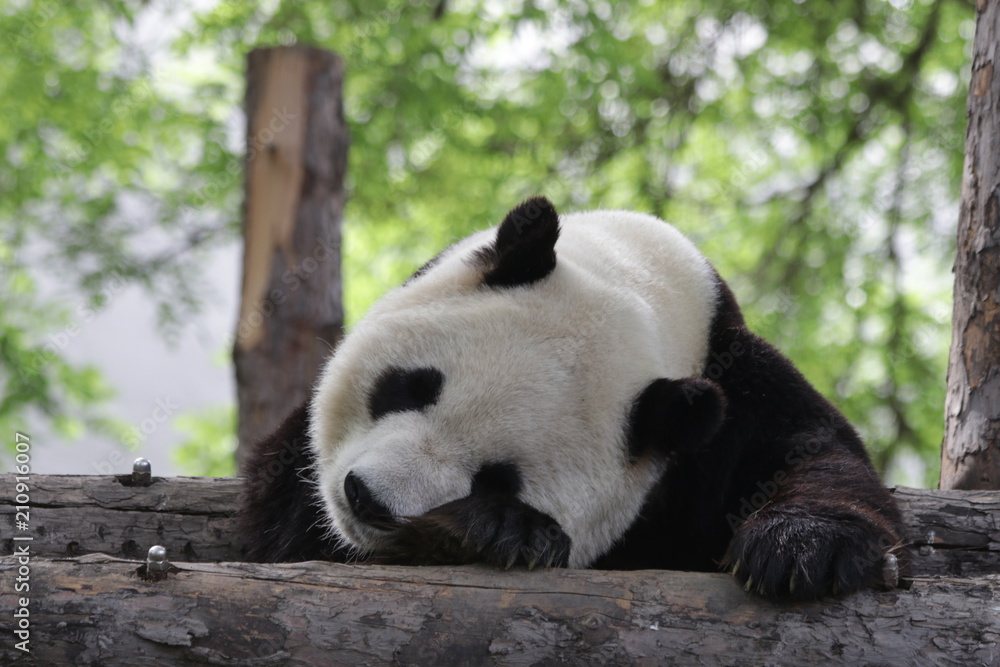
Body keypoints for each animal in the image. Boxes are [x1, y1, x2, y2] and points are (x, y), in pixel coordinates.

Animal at [240, 196, 904, 600]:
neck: (640, 286)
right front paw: (504, 532)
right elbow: (287, 526)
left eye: (498, 478)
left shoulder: (732, 392)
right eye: (412, 385)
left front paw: (799, 548)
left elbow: (811, 450)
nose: (368, 500)